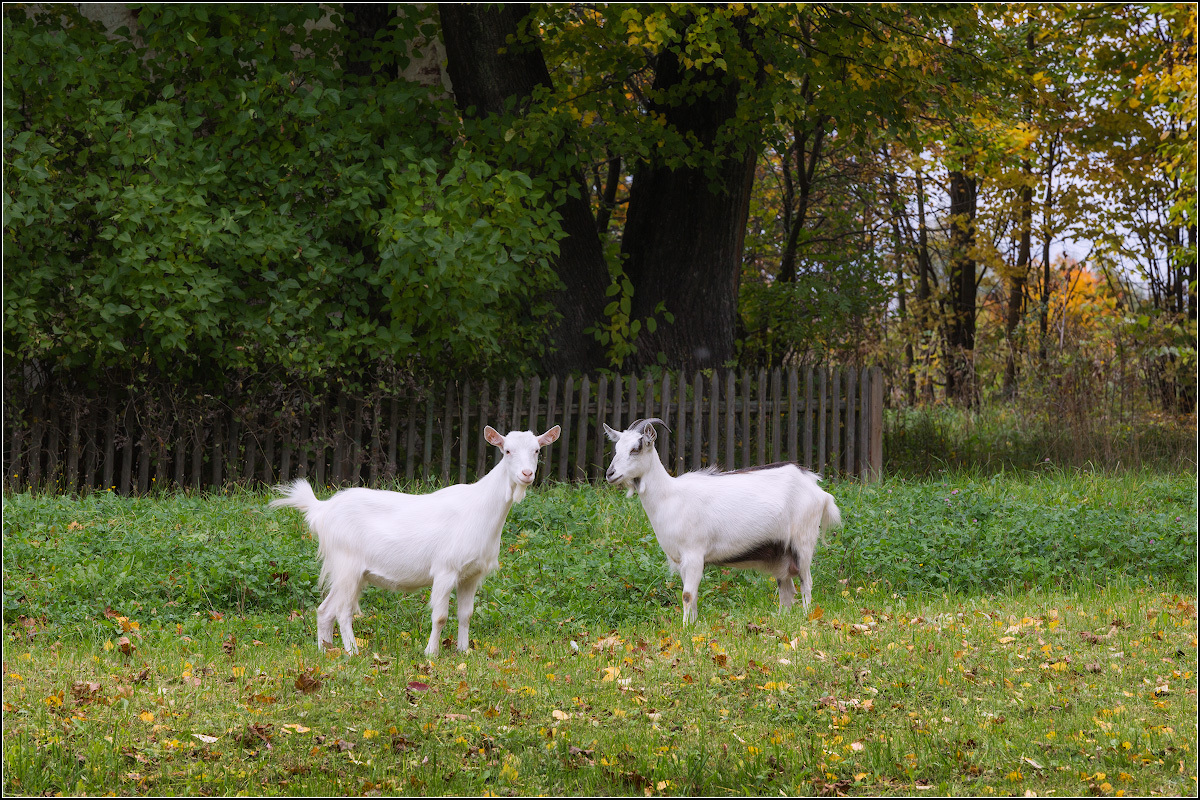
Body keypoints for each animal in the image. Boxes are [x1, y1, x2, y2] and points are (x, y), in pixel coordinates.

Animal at [270, 424, 559, 657]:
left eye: (536, 450)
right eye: (507, 451)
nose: (526, 474)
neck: (481, 509)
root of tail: (321, 509)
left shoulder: (472, 574)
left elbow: (465, 615)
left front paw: (464, 651)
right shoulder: (446, 569)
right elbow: (440, 616)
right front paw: (431, 653)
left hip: (348, 572)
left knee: (324, 609)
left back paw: (325, 652)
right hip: (347, 564)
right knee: (342, 611)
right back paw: (352, 652)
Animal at [604, 419, 840, 623]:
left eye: (636, 449)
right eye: (617, 448)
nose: (610, 473)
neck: (670, 496)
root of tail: (817, 489)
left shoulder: (694, 553)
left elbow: (687, 595)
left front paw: (685, 629)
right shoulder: (682, 561)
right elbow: (692, 596)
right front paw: (693, 625)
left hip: (803, 542)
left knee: (806, 582)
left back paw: (806, 618)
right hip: (780, 553)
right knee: (787, 589)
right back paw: (783, 620)